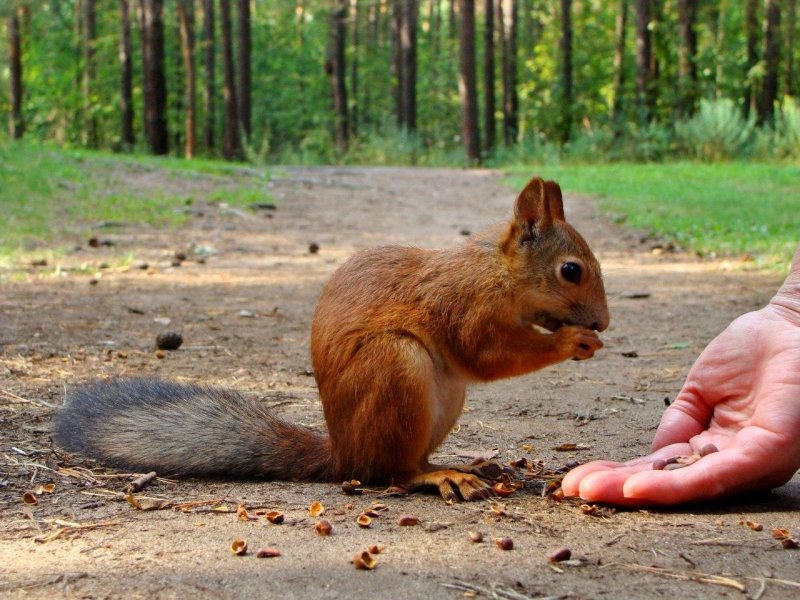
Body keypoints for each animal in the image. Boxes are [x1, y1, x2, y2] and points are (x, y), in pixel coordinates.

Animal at [54, 177, 608, 502]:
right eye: (571, 270)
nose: (602, 322)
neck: (498, 272)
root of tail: (342, 453)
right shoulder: (465, 307)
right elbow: (486, 353)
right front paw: (571, 341)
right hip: (395, 368)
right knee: (391, 472)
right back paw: (438, 476)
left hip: (441, 399)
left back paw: (472, 465)